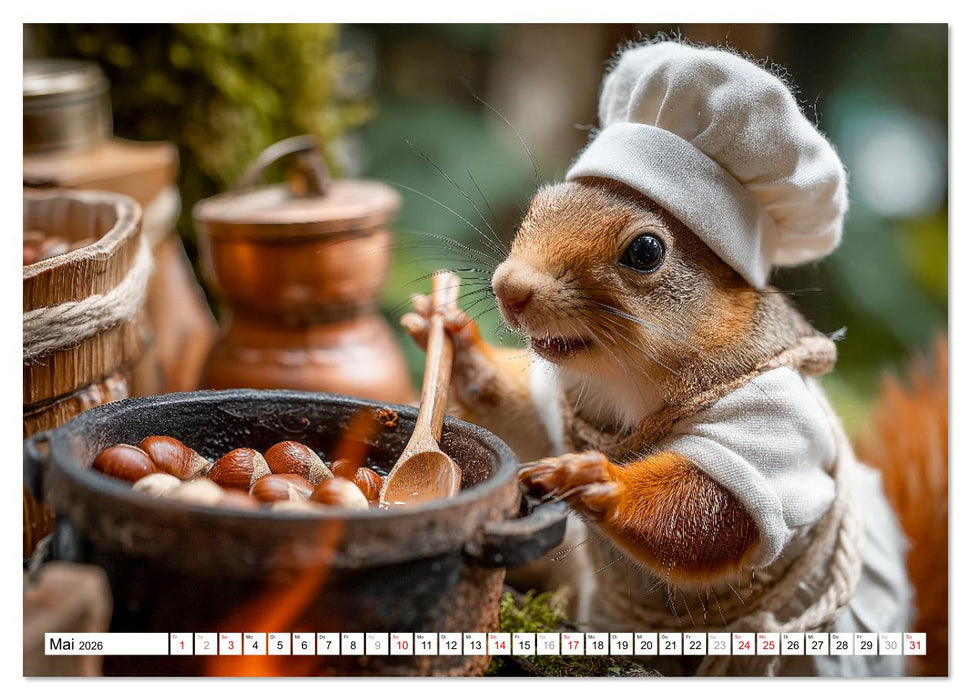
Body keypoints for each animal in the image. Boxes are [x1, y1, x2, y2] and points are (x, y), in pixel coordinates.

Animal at [401, 40, 947, 676]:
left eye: (646, 250)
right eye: (539, 205)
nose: (510, 288)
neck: (628, 382)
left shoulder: (773, 425)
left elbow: (712, 511)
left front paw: (598, 482)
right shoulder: (563, 401)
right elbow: (522, 424)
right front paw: (454, 339)